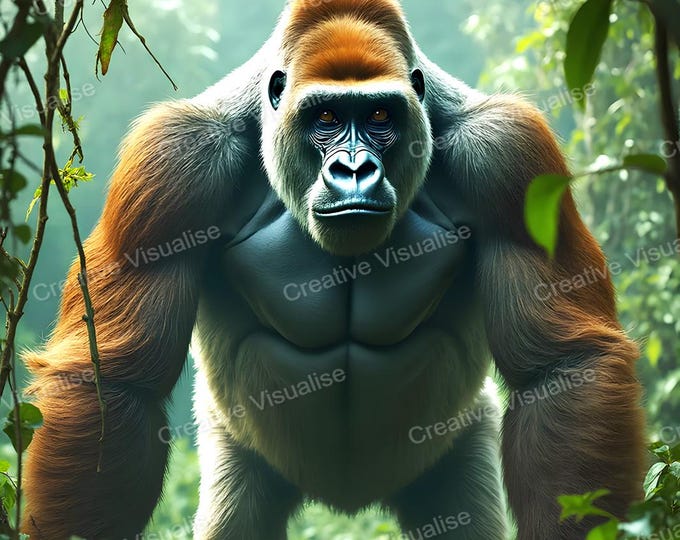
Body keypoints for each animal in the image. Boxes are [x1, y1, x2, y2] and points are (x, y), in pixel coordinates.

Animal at [21, 0, 646, 538]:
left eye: (379, 115)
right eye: (324, 117)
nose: (353, 170)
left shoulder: (509, 152)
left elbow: (562, 368)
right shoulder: (173, 161)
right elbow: (115, 382)